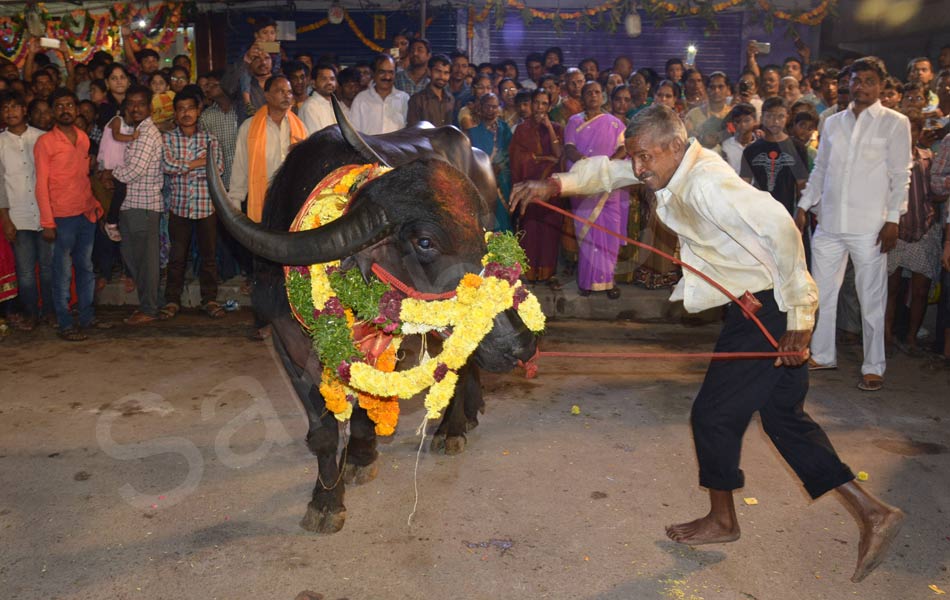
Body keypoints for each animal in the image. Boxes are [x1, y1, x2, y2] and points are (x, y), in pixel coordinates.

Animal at [206, 99, 536, 536]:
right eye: (425, 241)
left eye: (481, 230)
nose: (522, 343)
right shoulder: (284, 341)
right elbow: (323, 430)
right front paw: (328, 498)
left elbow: (369, 398)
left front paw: (359, 458)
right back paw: (470, 413)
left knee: (460, 363)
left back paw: (451, 430)